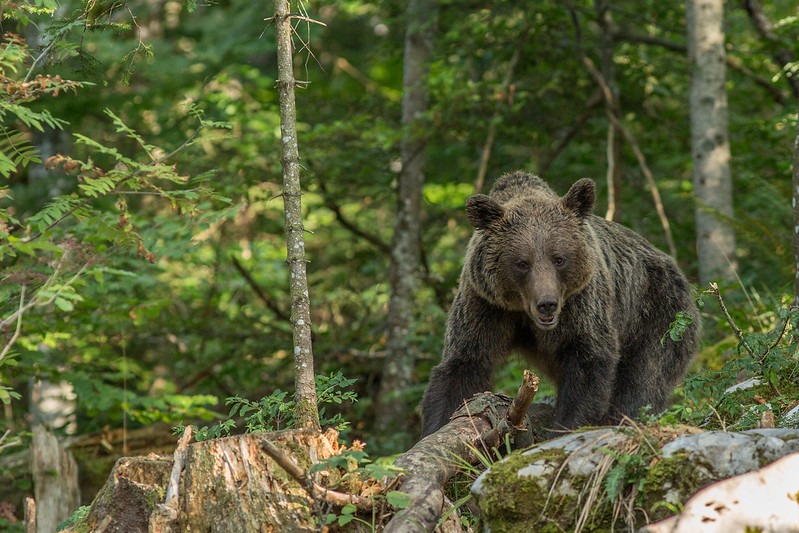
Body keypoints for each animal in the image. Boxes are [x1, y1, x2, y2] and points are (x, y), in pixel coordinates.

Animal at [422, 170, 696, 436]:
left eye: (559, 259)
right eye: (522, 263)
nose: (547, 304)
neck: (523, 313)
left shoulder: (582, 304)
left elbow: (589, 363)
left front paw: (566, 425)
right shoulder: (485, 305)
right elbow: (464, 364)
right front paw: (436, 429)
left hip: (659, 314)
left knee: (644, 378)